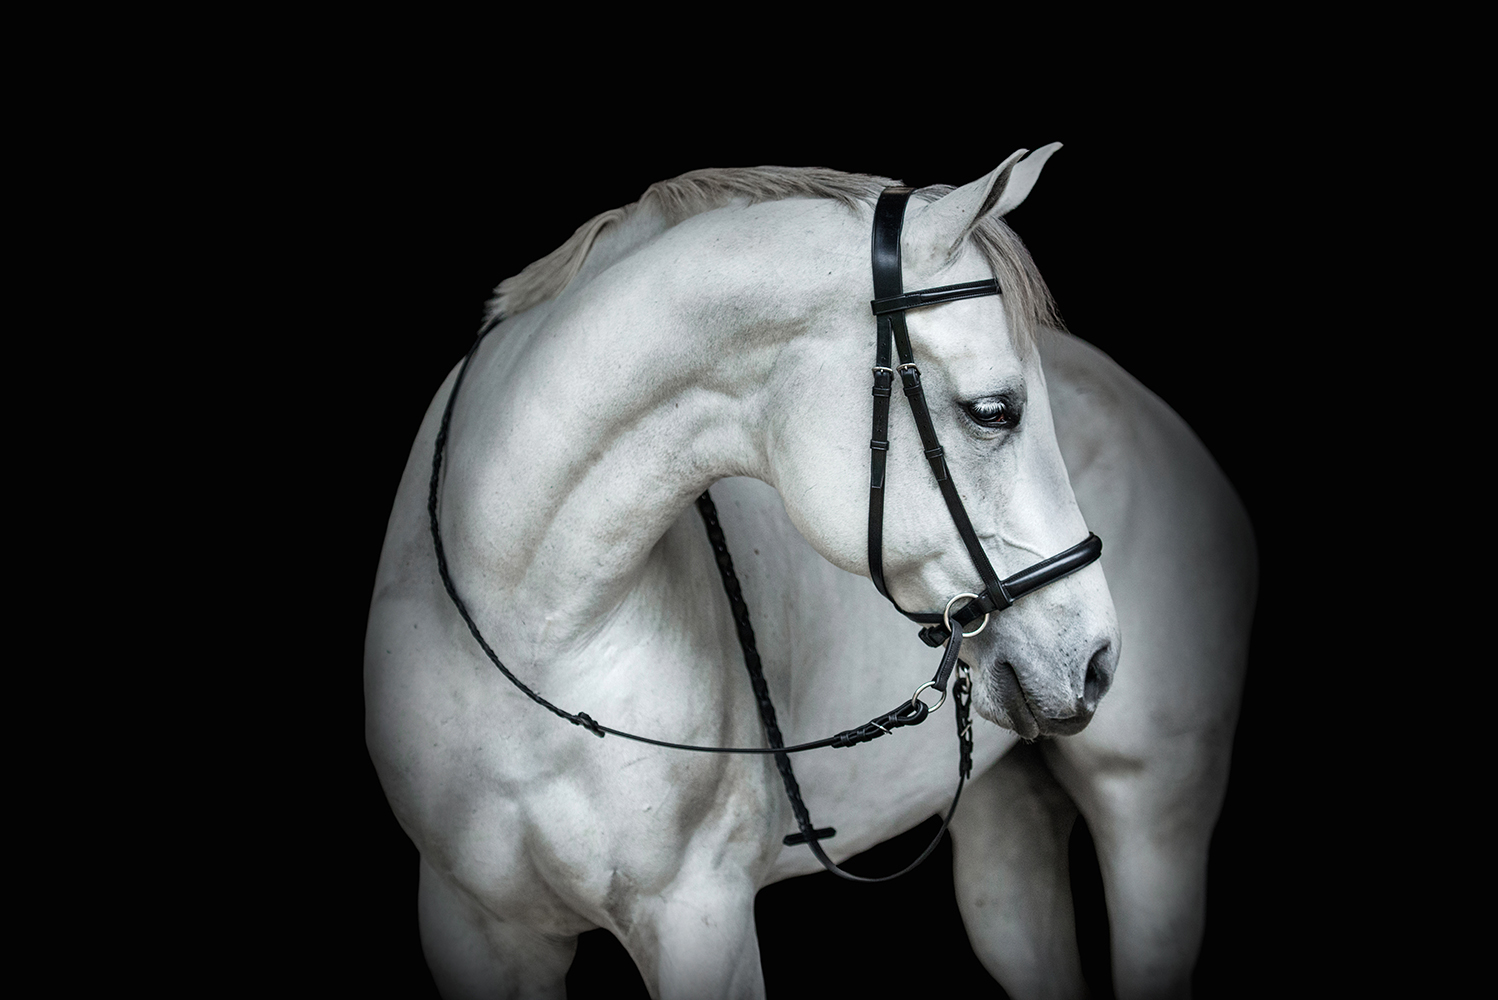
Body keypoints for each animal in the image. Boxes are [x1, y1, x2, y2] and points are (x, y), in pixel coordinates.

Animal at [365, 148, 1255, 999]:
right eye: (994, 411)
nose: (1097, 659)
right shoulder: (476, 931)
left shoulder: (698, 916)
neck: (532, 624)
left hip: (1153, 817)